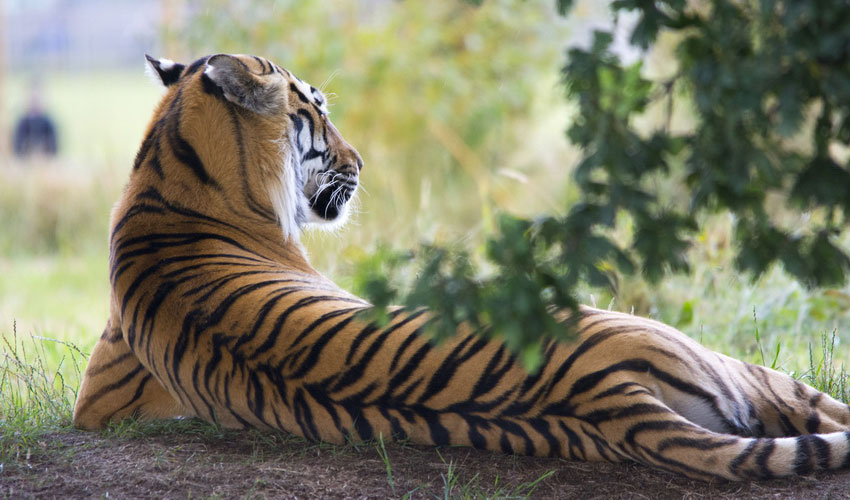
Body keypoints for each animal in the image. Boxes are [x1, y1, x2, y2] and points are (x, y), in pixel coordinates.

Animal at [72, 53, 850, 481]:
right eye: (316, 112)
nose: (361, 162)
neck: (168, 170)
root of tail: (607, 399)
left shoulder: (98, 399)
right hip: (714, 357)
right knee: (818, 404)